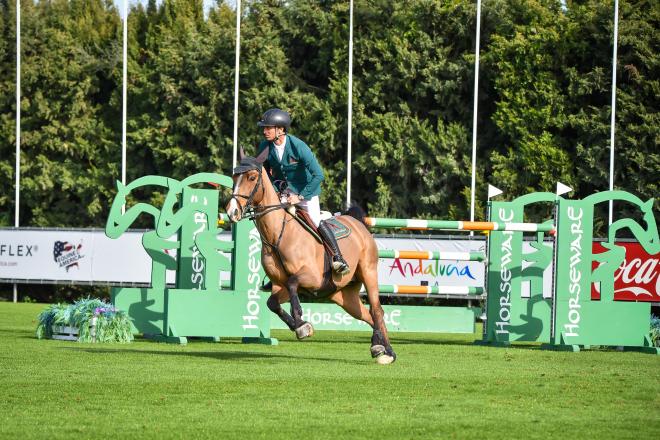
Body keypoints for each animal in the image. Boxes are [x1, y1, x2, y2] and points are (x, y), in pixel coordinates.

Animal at [224, 148, 394, 364]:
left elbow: (293, 283)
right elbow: (273, 302)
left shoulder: (312, 278)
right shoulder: (279, 285)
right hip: (344, 295)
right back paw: (381, 348)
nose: (232, 212)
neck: (277, 235)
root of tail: (358, 223)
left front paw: (302, 324)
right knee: (367, 315)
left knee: (377, 310)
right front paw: (298, 325)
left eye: (252, 177)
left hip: (368, 272)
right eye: (234, 177)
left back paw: (386, 351)